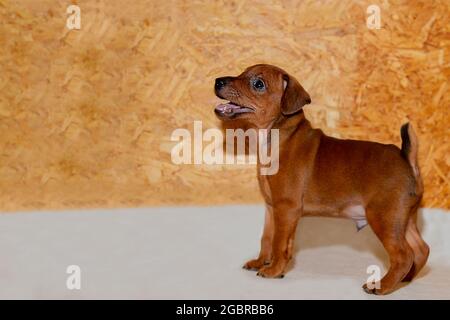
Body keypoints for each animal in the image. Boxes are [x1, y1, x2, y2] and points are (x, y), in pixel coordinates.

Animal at [213, 63, 430, 296]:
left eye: (258, 84)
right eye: (242, 73)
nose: (218, 81)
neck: (276, 135)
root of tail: (406, 158)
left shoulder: (286, 208)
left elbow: (279, 242)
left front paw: (273, 270)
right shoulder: (272, 208)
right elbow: (267, 238)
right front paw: (262, 262)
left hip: (384, 218)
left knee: (403, 255)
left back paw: (382, 286)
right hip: (403, 219)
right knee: (421, 249)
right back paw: (406, 278)